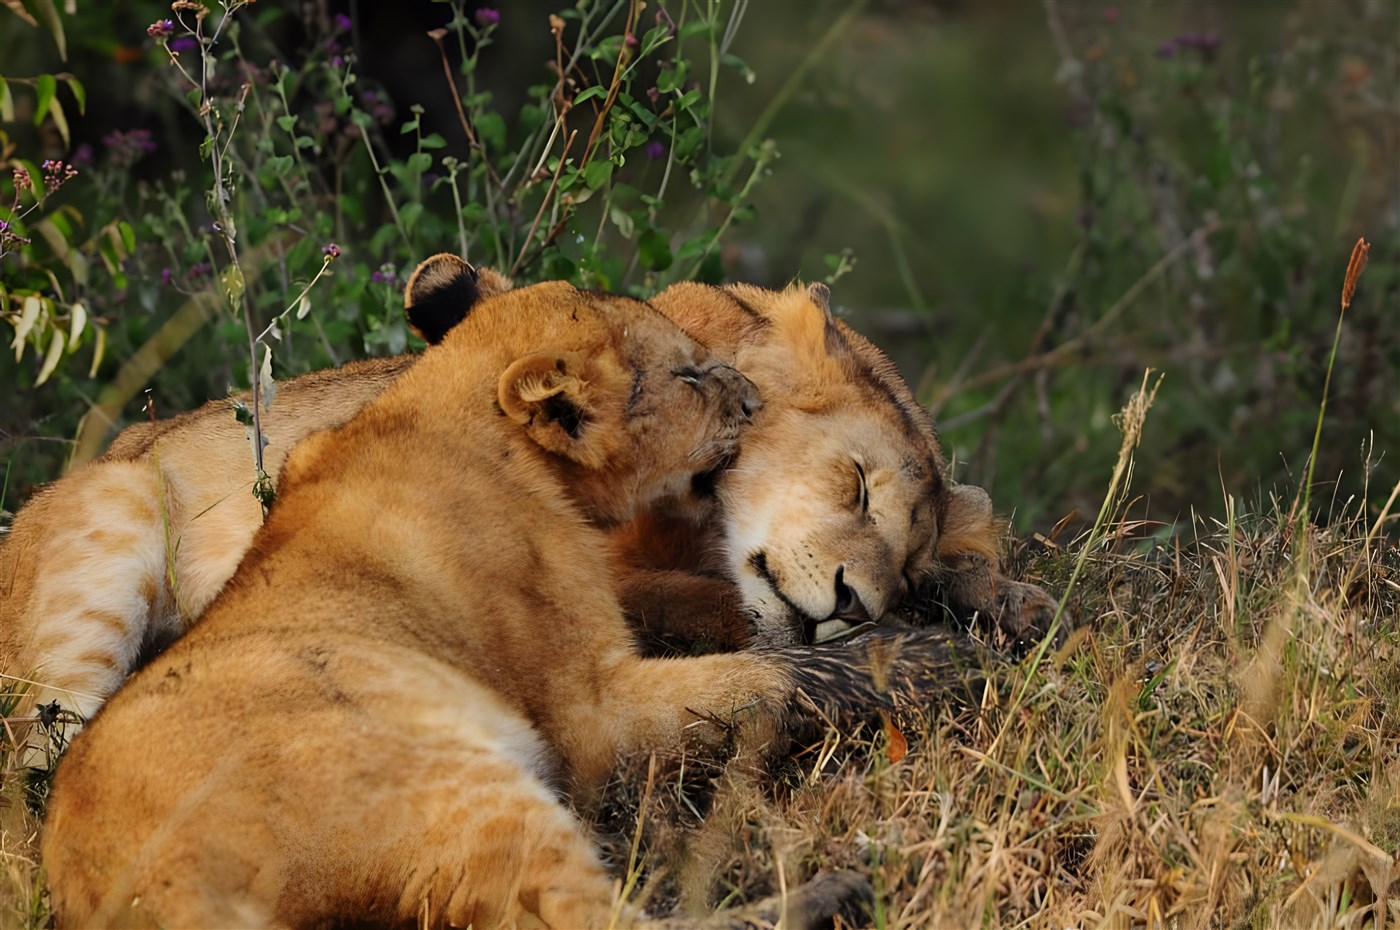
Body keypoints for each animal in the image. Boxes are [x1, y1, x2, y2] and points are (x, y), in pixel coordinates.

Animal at [42, 268, 884, 929]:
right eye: (687, 376)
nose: (753, 401)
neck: (445, 412)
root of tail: (142, 889)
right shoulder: (589, 714)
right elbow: (766, 678)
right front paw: (903, 660)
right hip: (462, 781)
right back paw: (836, 892)